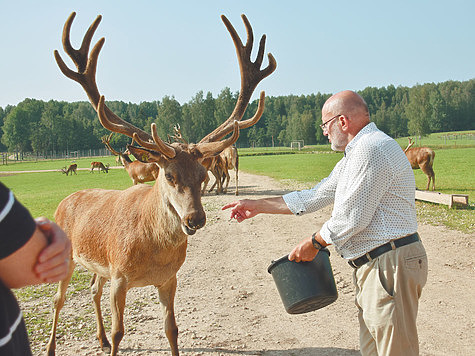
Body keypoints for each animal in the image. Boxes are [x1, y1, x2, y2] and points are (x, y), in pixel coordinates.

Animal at [47, 11, 278, 356]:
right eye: (168, 175)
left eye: (201, 175)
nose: (195, 218)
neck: (151, 252)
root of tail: (64, 201)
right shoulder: (119, 275)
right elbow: (120, 331)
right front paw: (113, 337)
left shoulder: (169, 278)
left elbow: (172, 329)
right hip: (68, 257)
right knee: (58, 300)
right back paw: (53, 345)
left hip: (98, 267)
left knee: (92, 289)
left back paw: (99, 338)